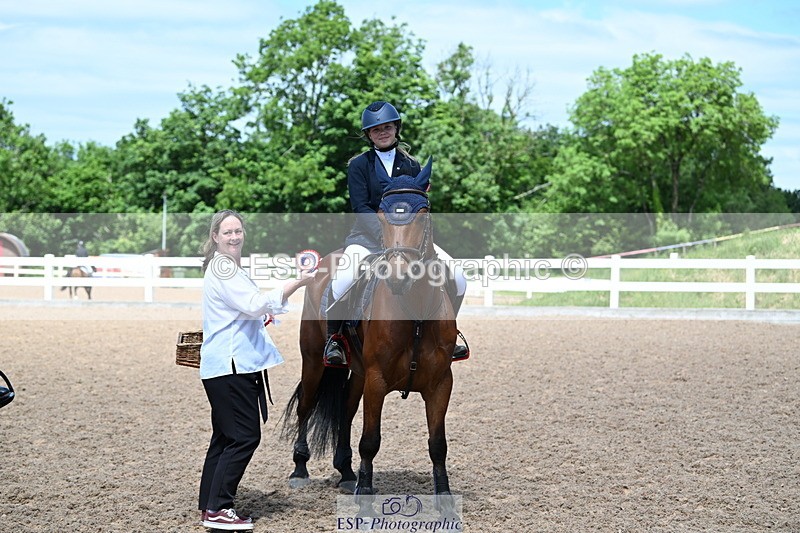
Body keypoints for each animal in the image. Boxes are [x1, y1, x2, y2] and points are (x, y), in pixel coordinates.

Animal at [283, 158, 459, 513]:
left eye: (423, 211)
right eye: (380, 212)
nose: (400, 276)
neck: (414, 307)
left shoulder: (440, 382)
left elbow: (438, 443)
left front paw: (445, 498)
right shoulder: (377, 380)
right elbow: (370, 440)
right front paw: (365, 496)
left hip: (358, 373)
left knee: (344, 412)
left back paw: (346, 473)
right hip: (314, 361)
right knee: (306, 406)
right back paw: (300, 469)